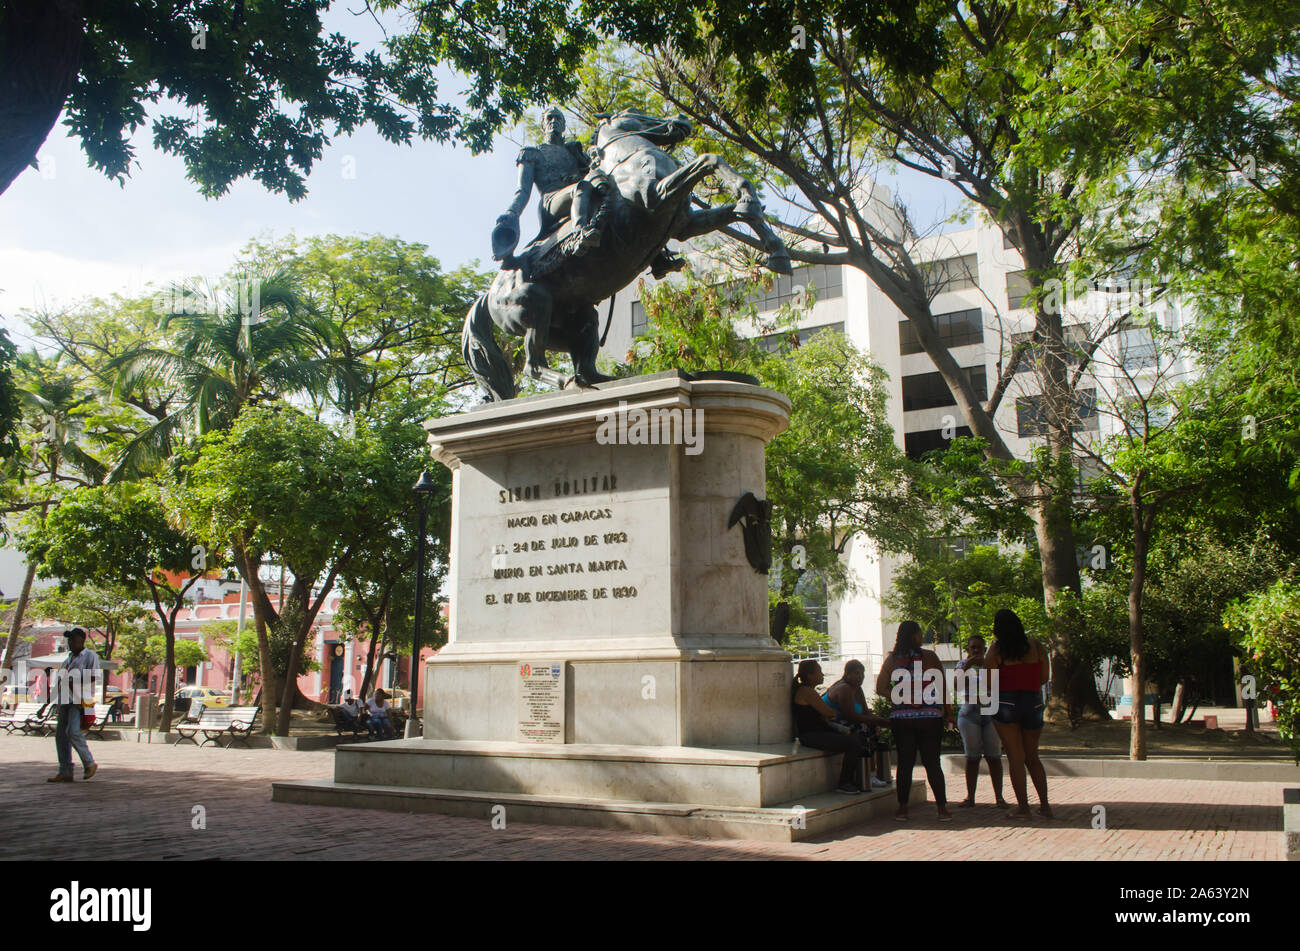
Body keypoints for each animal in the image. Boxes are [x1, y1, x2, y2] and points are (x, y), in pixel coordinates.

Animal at [467, 110, 790, 400]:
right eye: (634, 113)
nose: (682, 122)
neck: (630, 160)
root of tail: (490, 292)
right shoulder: (657, 196)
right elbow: (706, 160)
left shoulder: (686, 224)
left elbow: (735, 202)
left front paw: (775, 248)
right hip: (536, 308)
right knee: (533, 366)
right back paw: (568, 382)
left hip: (580, 320)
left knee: (585, 365)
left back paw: (608, 380)